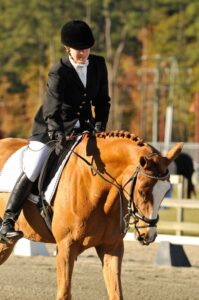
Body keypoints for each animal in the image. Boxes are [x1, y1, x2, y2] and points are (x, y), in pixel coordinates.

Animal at [0, 132, 183, 300]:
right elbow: (64, 294)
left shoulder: (112, 247)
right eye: (142, 191)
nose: (148, 235)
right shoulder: (66, 246)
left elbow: (116, 294)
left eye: (166, 191)